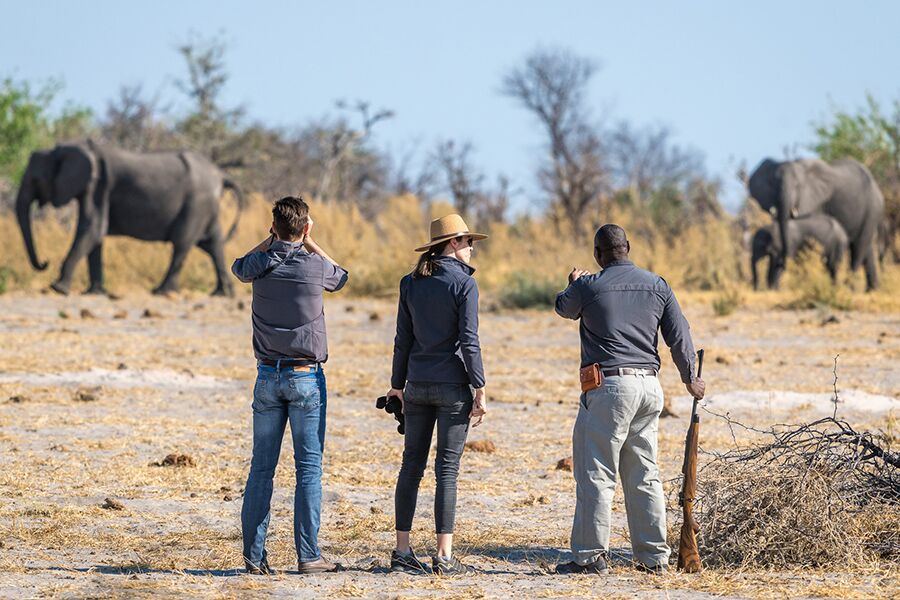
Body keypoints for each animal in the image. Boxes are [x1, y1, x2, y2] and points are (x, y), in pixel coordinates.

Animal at [15, 141, 245, 296]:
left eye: (35, 180)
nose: (45, 262)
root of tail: (220, 174)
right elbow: (94, 236)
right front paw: (94, 293)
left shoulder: (98, 186)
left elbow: (92, 229)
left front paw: (58, 289)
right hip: (205, 206)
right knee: (212, 244)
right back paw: (222, 294)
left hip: (196, 203)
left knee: (182, 243)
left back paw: (161, 291)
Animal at [748, 158, 884, 290]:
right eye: (772, 184)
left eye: (798, 186)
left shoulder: (813, 200)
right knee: (866, 249)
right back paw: (872, 289)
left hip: (872, 210)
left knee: (858, 248)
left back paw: (849, 288)